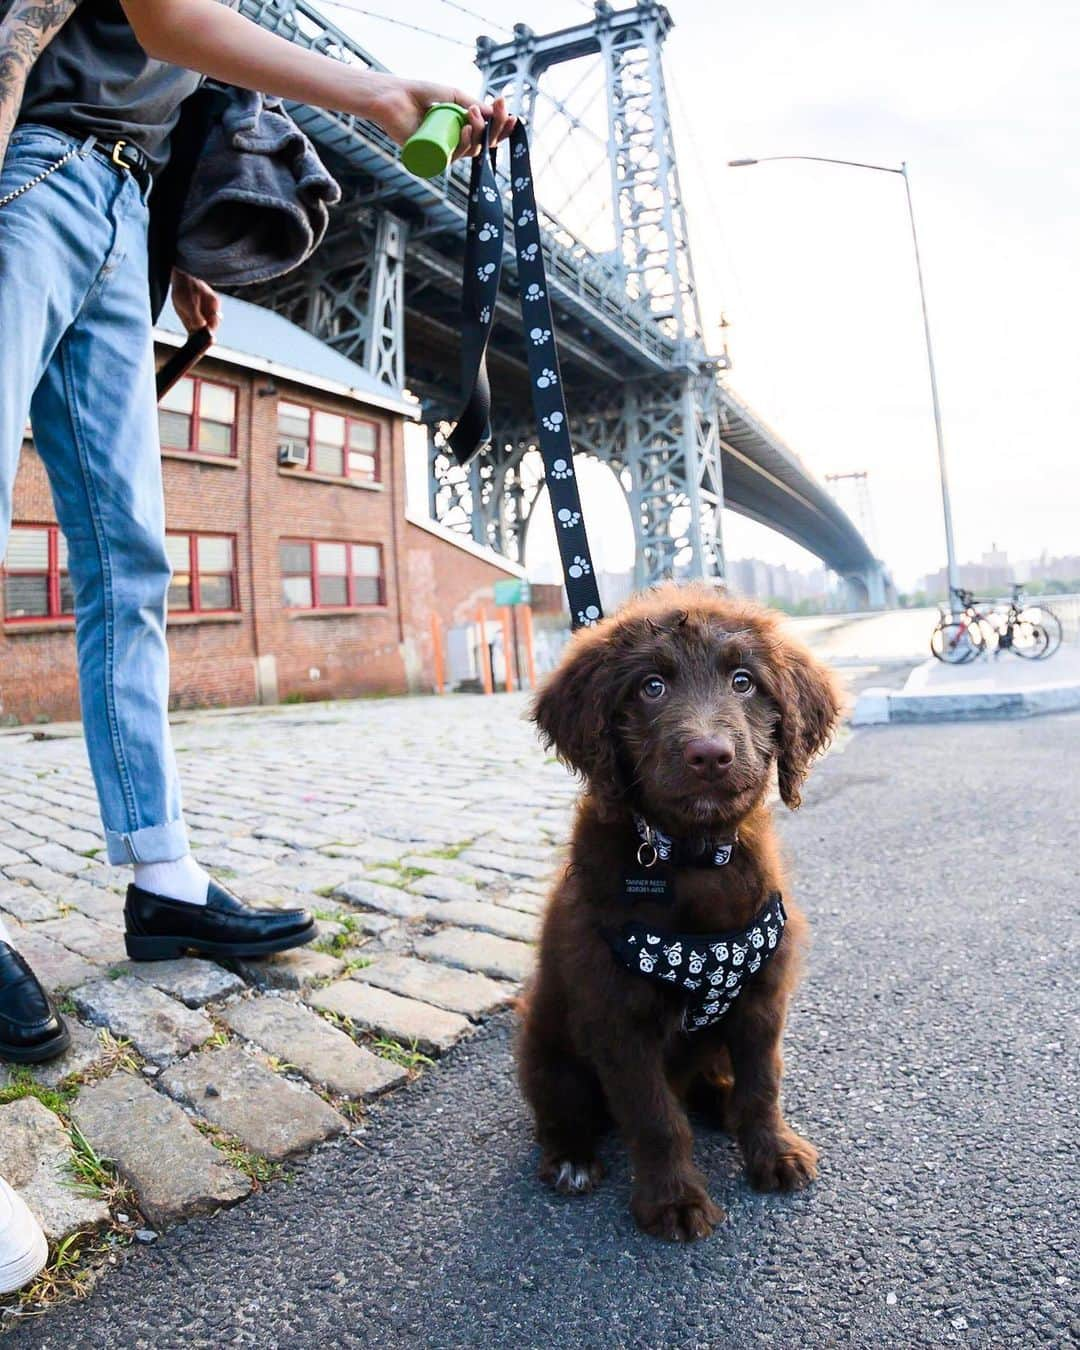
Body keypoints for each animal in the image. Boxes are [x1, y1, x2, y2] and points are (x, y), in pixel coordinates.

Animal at [515, 585, 842, 1236]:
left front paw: (774, 1152)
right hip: (545, 1044)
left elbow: (763, 1086)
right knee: (561, 1109)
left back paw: (722, 1104)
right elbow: (654, 1118)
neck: (693, 858)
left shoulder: (761, 1000)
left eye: (744, 682)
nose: (709, 755)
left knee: (714, 1086)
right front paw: (674, 1202)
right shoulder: (618, 1018)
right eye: (651, 687)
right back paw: (570, 1158)